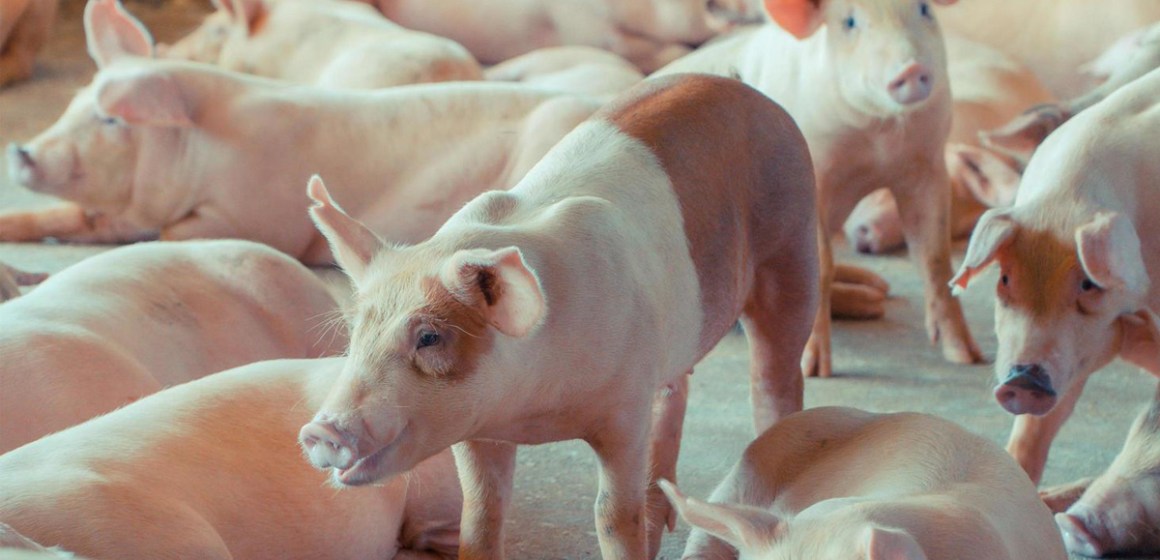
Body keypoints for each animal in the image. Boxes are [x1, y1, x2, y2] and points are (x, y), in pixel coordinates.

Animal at [297, 73, 819, 560]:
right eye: (355, 332)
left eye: (429, 337)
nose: (320, 430)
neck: (534, 411)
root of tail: (755, 95)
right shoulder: (477, 430)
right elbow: (480, 513)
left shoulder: (625, 405)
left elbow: (613, 515)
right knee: (675, 392)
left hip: (792, 246)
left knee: (775, 375)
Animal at [655, 0, 983, 378]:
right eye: (850, 22)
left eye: (924, 8)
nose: (911, 68)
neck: (877, 138)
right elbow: (819, 266)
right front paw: (814, 370)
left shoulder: (927, 166)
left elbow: (934, 257)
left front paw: (966, 356)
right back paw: (870, 302)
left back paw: (878, 289)